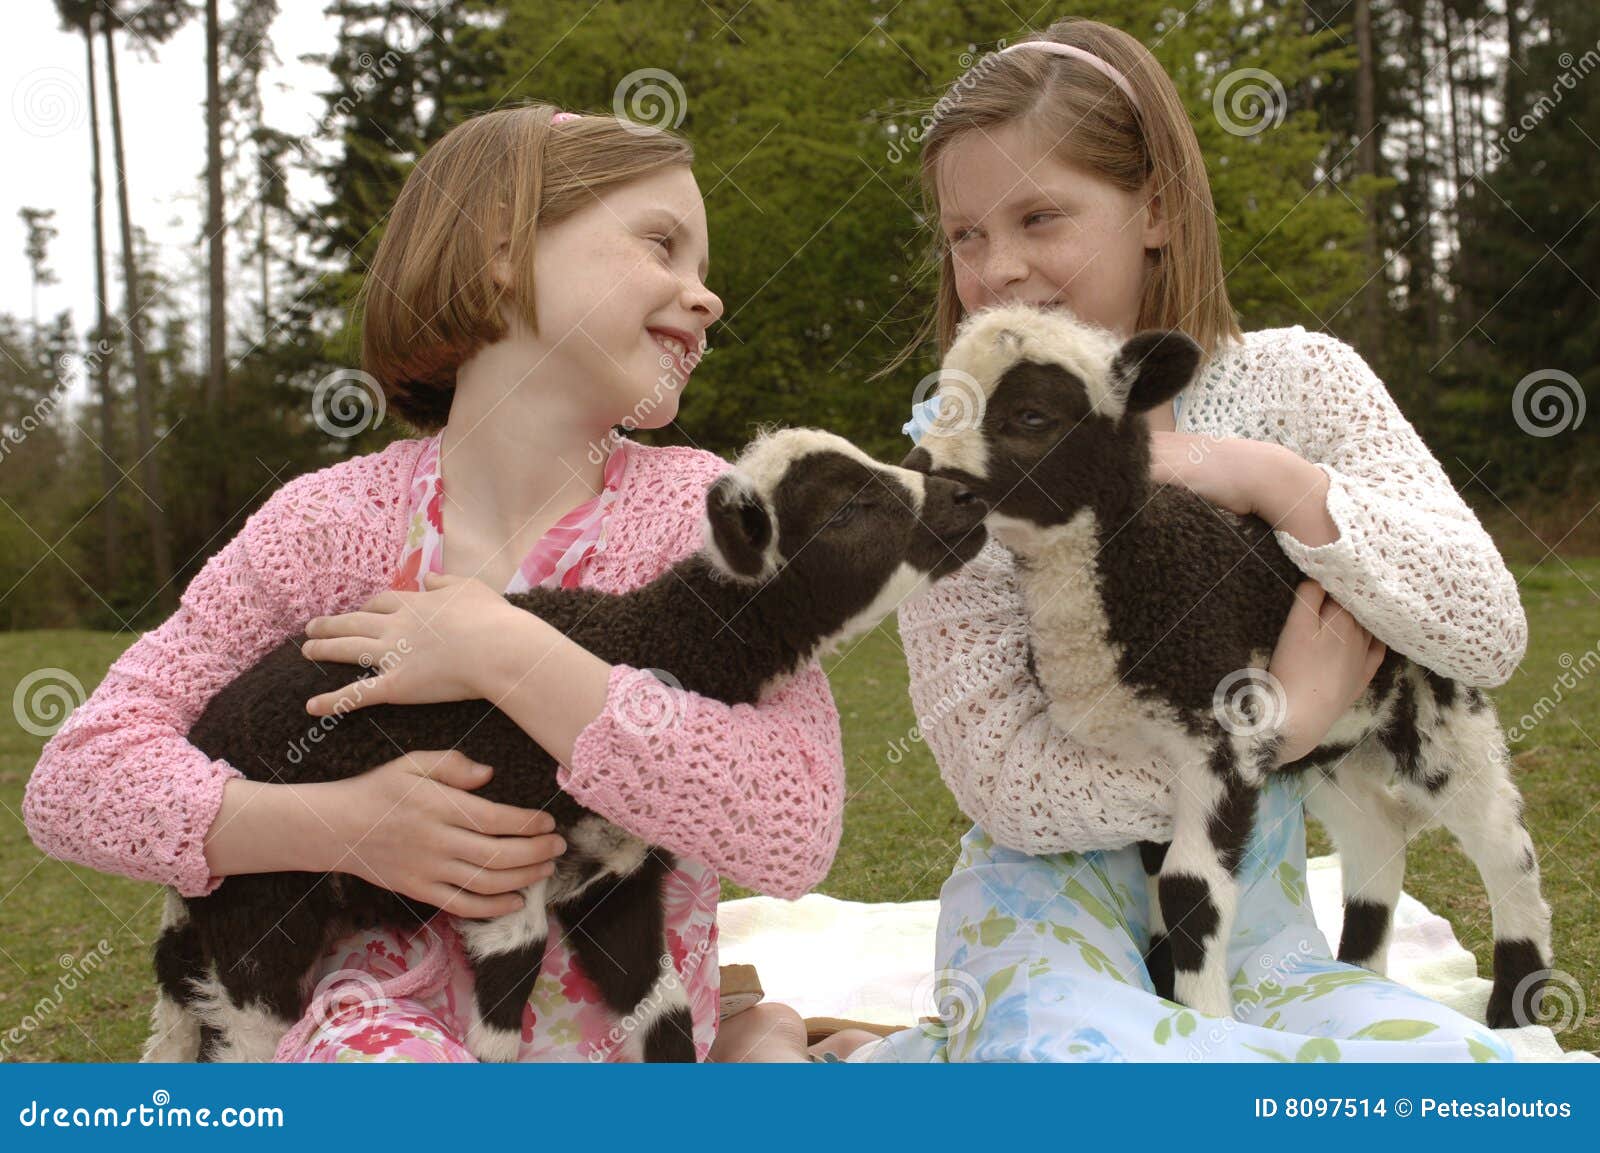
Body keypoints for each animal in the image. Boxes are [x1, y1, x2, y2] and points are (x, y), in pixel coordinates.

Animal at [143, 428, 988, 1063]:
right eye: (848, 507)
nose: (968, 497)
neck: (649, 642)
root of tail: (205, 732)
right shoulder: (498, 867)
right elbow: (500, 1023)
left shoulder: (614, 878)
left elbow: (663, 1014)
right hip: (262, 903)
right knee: (244, 1032)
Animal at [902, 303, 1553, 1029]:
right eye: (942, 403)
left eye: (1032, 414)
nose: (924, 482)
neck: (1137, 567)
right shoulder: (1150, 764)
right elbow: (1159, 883)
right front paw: (1170, 998)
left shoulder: (1224, 733)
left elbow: (1189, 890)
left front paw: (1206, 1022)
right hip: (1328, 748)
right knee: (1376, 831)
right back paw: (1362, 972)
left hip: (1437, 706)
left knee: (1503, 841)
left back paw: (1516, 1003)